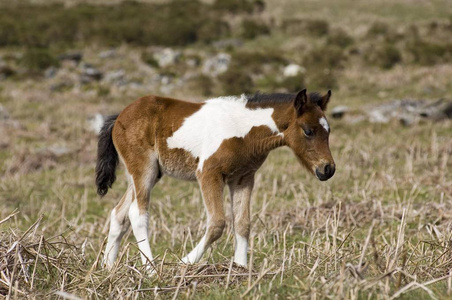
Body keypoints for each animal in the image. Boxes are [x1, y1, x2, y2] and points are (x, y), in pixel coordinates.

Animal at [96, 88, 336, 270]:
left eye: (328, 131)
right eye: (308, 131)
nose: (328, 169)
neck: (243, 130)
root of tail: (119, 116)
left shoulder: (243, 178)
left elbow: (242, 223)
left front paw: (240, 267)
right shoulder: (208, 173)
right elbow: (218, 223)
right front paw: (185, 263)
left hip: (150, 173)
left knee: (119, 214)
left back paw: (108, 268)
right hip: (143, 169)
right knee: (137, 214)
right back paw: (151, 270)